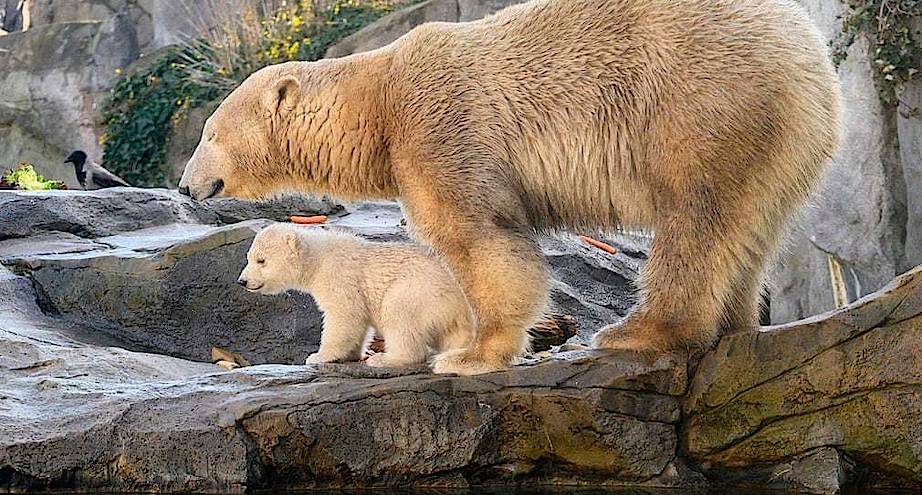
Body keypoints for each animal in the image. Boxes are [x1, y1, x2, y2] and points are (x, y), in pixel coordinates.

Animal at [180, 0, 840, 376]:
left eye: (209, 132)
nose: (186, 186)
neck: (376, 99)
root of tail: (807, 51)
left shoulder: (439, 125)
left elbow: (481, 236)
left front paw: (470, 355)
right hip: (779, 137)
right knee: (749, 226)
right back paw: (732, 324)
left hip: (701, 99)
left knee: (694, 217)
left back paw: (637, 331)